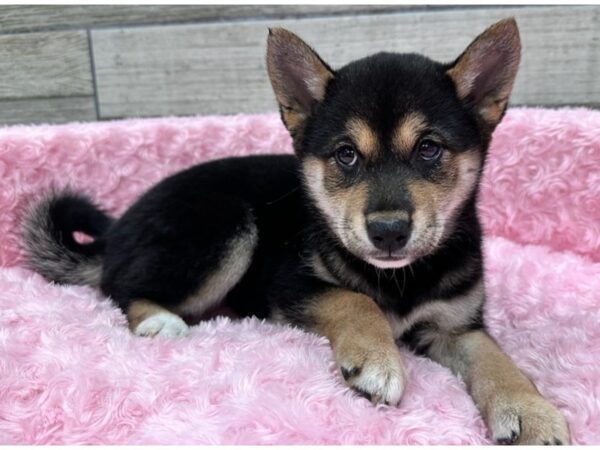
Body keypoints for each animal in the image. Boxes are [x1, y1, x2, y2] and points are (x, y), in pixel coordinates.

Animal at [23, 18, 568, 446]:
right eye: (346, 155)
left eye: (430, 149)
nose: (388, 231)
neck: (401, 279)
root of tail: (117, 230)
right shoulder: (290, 286)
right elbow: (356, 299)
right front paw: (377, 360)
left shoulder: (456, 325)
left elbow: (497, 359)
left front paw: (530, 411)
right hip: (225, 226)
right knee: (122, 288)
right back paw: (159, 321)